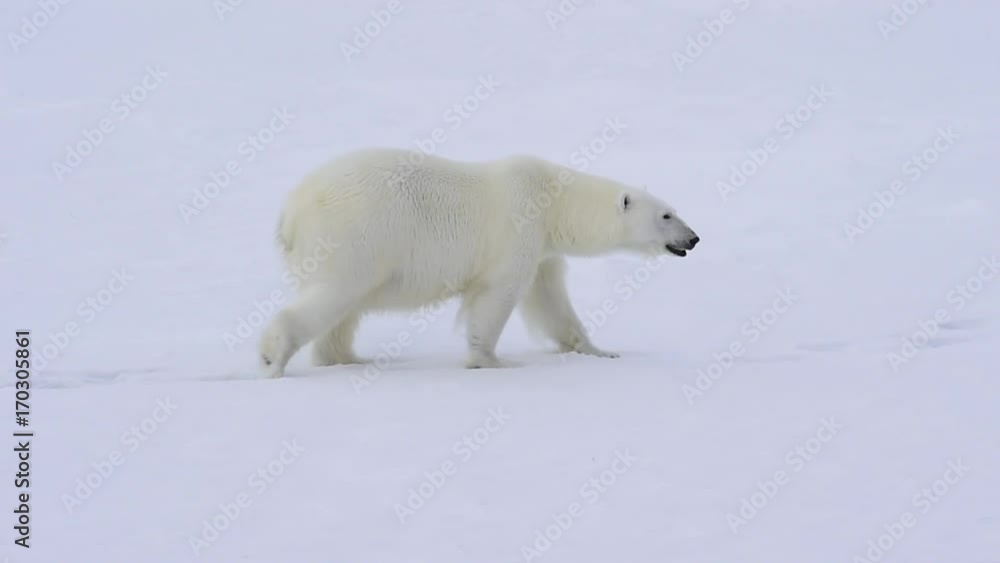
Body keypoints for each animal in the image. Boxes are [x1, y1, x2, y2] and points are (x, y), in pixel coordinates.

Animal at [258, 147, 699, 377]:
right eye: (666, 216)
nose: (693, 239)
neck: (552, 202)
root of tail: (289, 212)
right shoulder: (517, 229)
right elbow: (498, 294)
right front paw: (492, 360)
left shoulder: (542, 249)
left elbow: (550, 301)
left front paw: (599, 351)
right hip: (356, 235)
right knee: (336, 293)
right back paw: (273, 356)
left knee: (343, 310)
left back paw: (347, 357)